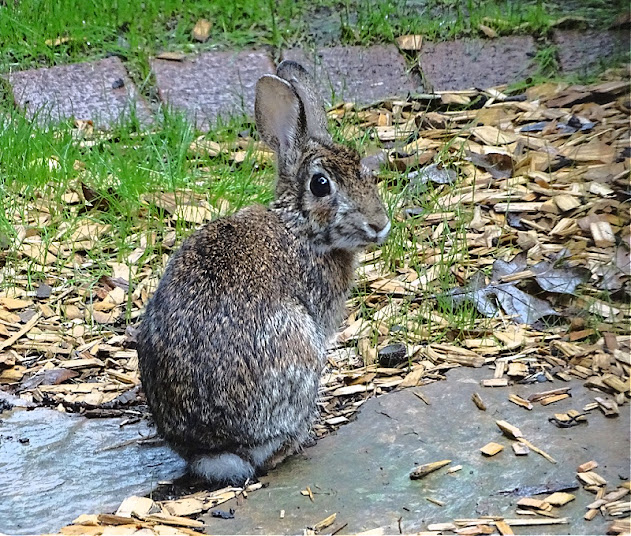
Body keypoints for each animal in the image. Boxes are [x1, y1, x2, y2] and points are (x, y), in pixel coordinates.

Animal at [137, 60, 390, 485]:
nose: (379, 224)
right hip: (301, 351)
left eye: (363, 170)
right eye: (320, 184)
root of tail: (217, 450)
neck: (298, 227)